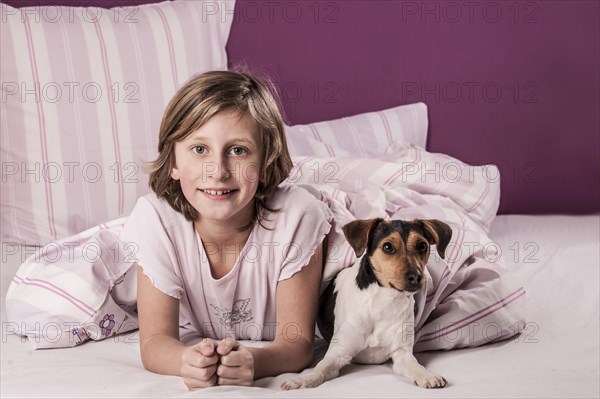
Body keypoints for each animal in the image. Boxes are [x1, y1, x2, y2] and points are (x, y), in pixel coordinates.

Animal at [284, 219, 452, 390]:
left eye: (422, 246)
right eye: (387, 247)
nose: (417, 277)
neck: (385, 301)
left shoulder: (402, 353)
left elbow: (416, 366)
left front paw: (427, 376)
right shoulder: (338, 352)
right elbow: (320, 369)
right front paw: (303, 379)